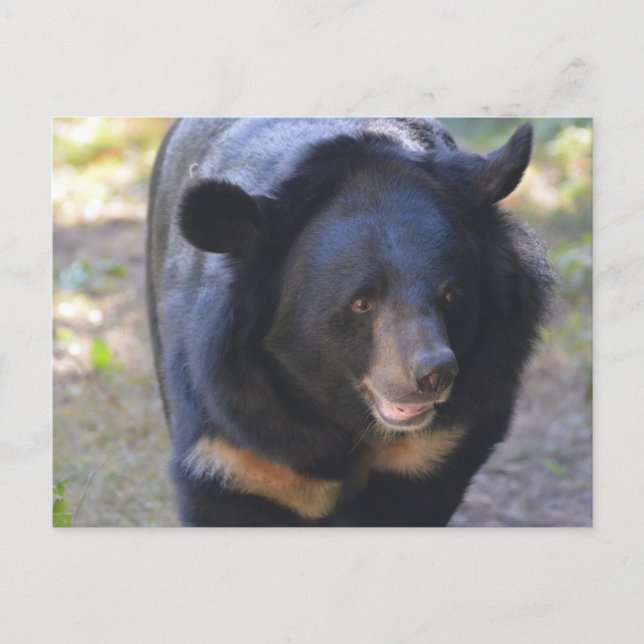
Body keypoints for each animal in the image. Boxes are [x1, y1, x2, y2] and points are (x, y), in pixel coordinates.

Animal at [146, 118, 555, 527]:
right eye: (362, 302)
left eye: (451, 296)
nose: (434, 375)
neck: (339, 410)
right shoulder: (232, 443)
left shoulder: (434, 448)